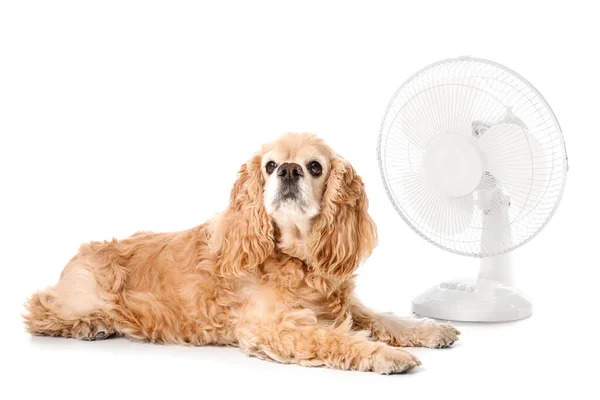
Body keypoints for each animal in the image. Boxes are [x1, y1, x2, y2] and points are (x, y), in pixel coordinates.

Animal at [22, 133, 460, 374]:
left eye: (315, 167)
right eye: (269, 165)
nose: (288, 170)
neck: (296, 258)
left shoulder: (341, 305)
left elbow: (385, 318)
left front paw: (430, 330)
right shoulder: (276, 328)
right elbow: (339, 341)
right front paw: (385, 355)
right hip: (83, 293)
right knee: (39, 308)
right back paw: (91, 325)